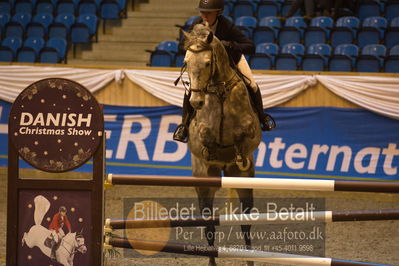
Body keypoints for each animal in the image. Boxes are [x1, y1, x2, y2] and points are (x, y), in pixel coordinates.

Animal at [182, 23, 262, 266]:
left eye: (208, 63)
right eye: (186, 62)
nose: (196, 102)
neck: (218, 92)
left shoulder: (251, 132)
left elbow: (243, 135)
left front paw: (236, 152)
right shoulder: (199, 133)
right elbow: (204, 135)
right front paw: (212, 147)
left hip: (244, 179)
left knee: (246, 221)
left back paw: (250, 258)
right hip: (203, 182)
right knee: (208, 223)